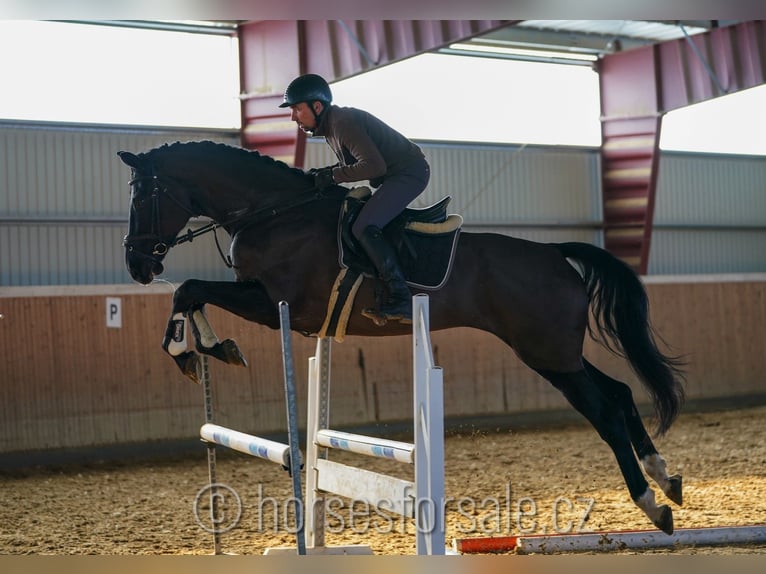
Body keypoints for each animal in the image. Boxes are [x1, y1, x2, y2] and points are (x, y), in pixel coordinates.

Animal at [121, 140, 688, 536]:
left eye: (144, 195)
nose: (137, 265)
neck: (274, 212)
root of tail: (555, 254)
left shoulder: (279, 305)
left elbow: (191, 289)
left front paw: (189, 351)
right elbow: (192, 294)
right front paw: (209, 349)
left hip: (546, 352)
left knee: (606, 411)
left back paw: (652, 505)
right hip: (553, 354)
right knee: (619, 392)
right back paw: (666, 478)